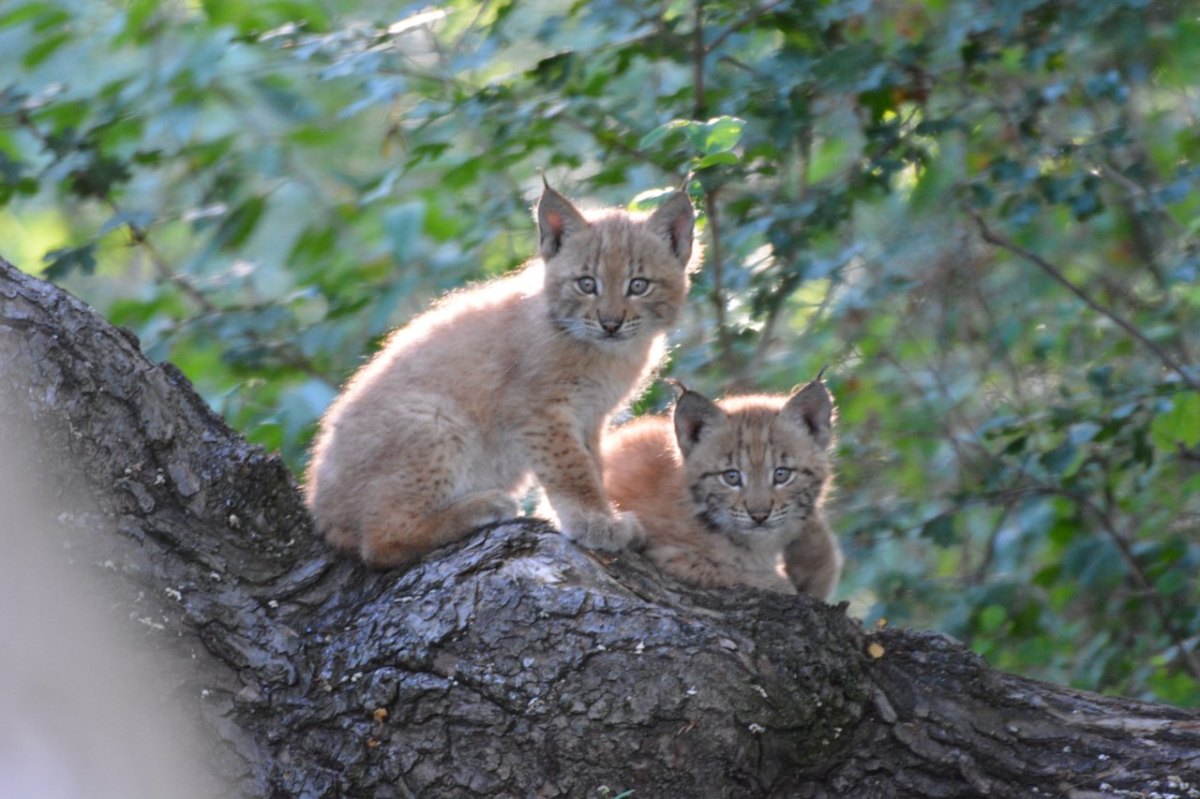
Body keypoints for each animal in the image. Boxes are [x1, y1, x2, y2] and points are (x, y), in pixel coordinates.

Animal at [304, 182, 696, 566]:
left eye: (638, 285)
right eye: (586, 284)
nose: (610, 323)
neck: (607, 351)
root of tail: (318, 510)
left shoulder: (590, 415)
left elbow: (594, 464)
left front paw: (593, 516)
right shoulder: (539, 409)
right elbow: (571, 468)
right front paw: (596, 523)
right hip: (434, 417)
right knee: (379, 543)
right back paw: (481, 506)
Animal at [600, 376, 844, 595]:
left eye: (781, 474)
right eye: (731, 477)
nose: (759, 515)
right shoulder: (668, 553)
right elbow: (734, 570)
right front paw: (781, 583)